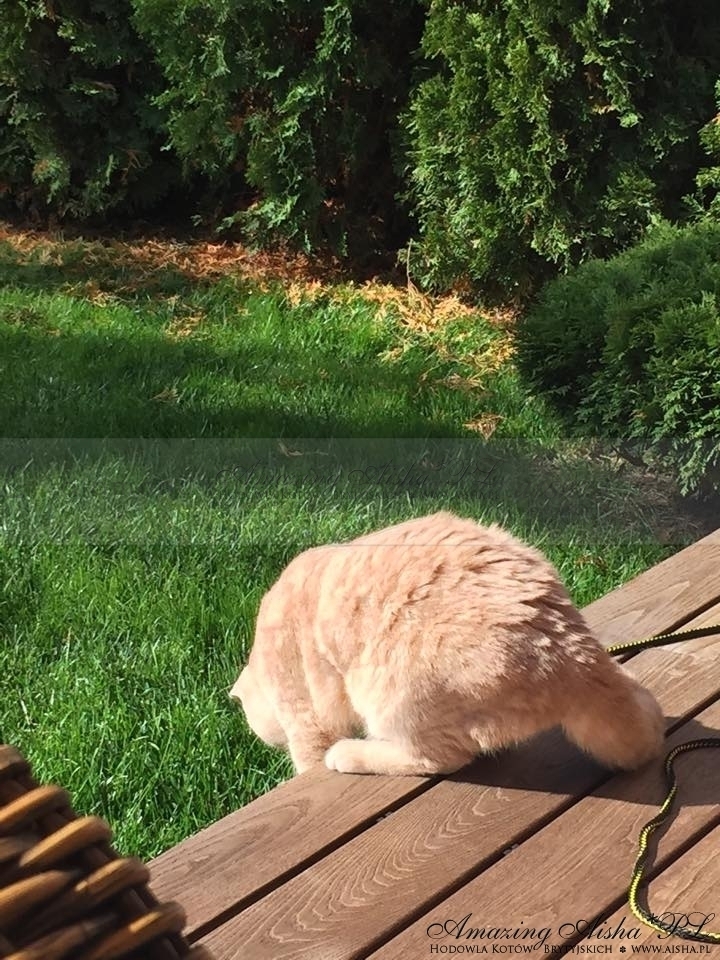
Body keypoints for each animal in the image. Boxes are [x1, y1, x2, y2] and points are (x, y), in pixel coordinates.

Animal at [230, 511, 664, 776]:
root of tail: (572, 651)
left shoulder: (305, 718)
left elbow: (309, 758)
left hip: (392, 699)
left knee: (440, 759)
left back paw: (352, 754)